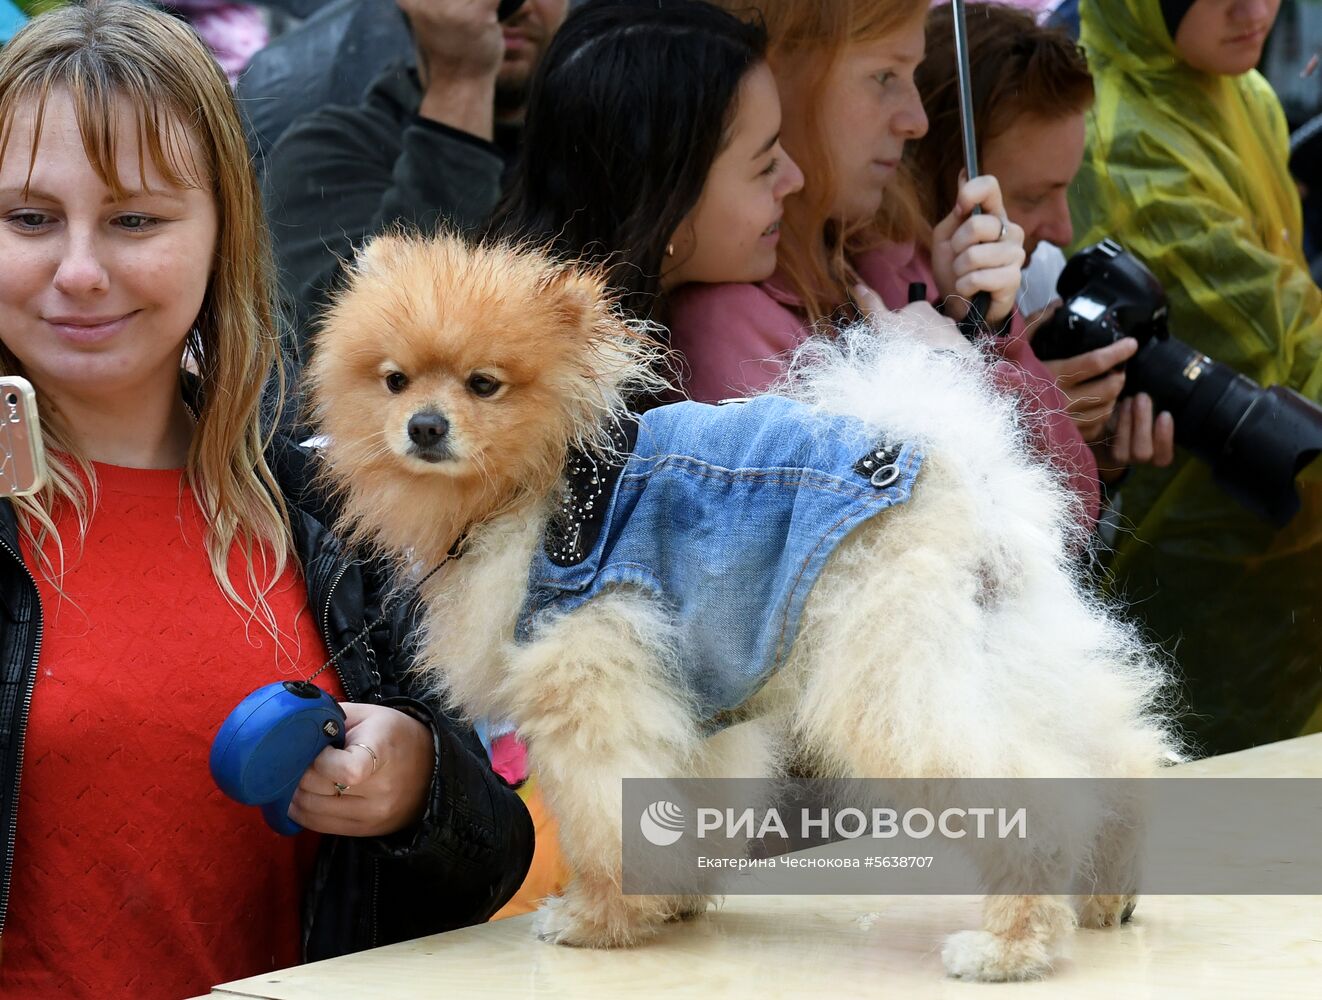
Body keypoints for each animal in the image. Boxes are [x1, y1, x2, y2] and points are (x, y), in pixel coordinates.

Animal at [309, 230, 1179, 978]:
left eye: (483, 385)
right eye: (394, 381)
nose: (424, 426)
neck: (542, 484)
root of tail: (951, 471)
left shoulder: (592, 678)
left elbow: (605, 814)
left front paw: (598, 919)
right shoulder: (692, 696)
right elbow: (687, 801)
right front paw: (672, 903)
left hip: (892, 670)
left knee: (1027, 790)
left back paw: (1008, 946)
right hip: (1001, 647)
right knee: (1111, 752)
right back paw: (1109, 892)